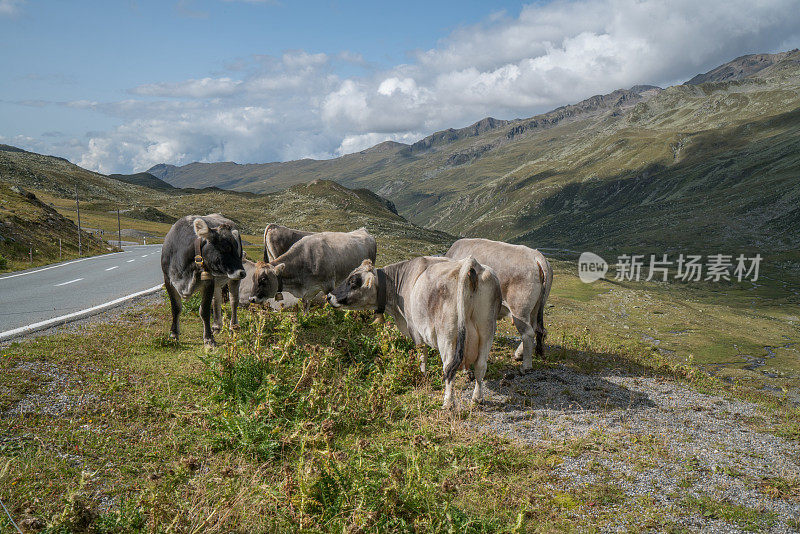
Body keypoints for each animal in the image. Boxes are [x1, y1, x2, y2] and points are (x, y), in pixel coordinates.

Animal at [161, 216, 245, 350]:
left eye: (236, 248)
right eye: (225, 247)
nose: (242, 272)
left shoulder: (208, 282)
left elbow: (204, 310)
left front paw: (209, 339)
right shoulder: (168, 280)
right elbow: (176, 308)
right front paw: (174, 334)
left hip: (233, 280)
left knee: (233, 301)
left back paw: (233, 326)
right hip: (217, 282)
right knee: (217, 300)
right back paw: (216, 326)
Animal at [248, 226, 376, 310]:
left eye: (264, 279)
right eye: (253, 279)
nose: (251, 299)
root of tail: (363, 230)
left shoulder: (329, 284)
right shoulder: (308, 291)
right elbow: (305, 306)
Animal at [324, 256, 500, 410]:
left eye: (353, 281)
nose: (329, 296)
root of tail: (470, 263)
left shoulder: (415, 330)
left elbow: (421, 356)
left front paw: (421, 375)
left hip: (448, 334)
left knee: (449, 367)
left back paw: (448, 403)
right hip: (486, 329)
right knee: (480, 365)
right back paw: (477, 398)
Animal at [444, 239, 552, 372]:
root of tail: (537, 256)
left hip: (520, 309)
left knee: (528, 333)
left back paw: (525, 366)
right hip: (535, 309)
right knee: (535, 328)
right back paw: (519, 355)